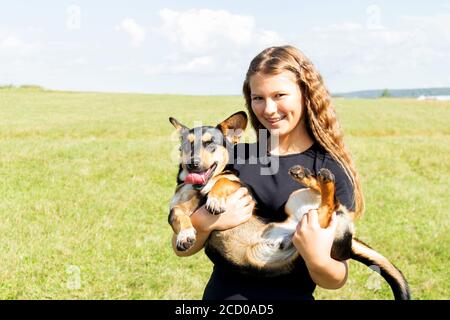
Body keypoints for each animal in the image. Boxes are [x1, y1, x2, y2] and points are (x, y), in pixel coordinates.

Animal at [169, 110, 412, 300]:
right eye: (186, 145)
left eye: (210, 143)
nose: (192, 164)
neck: (200, 187)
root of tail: (349, 240)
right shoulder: (178, 204)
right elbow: (178, 216)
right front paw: (185, 235)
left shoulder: (242, 189)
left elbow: (223, 181)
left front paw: (215, 198)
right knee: (327, 206)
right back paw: (310, 176)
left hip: (316, 228)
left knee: (328, 208)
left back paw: (321, 178)